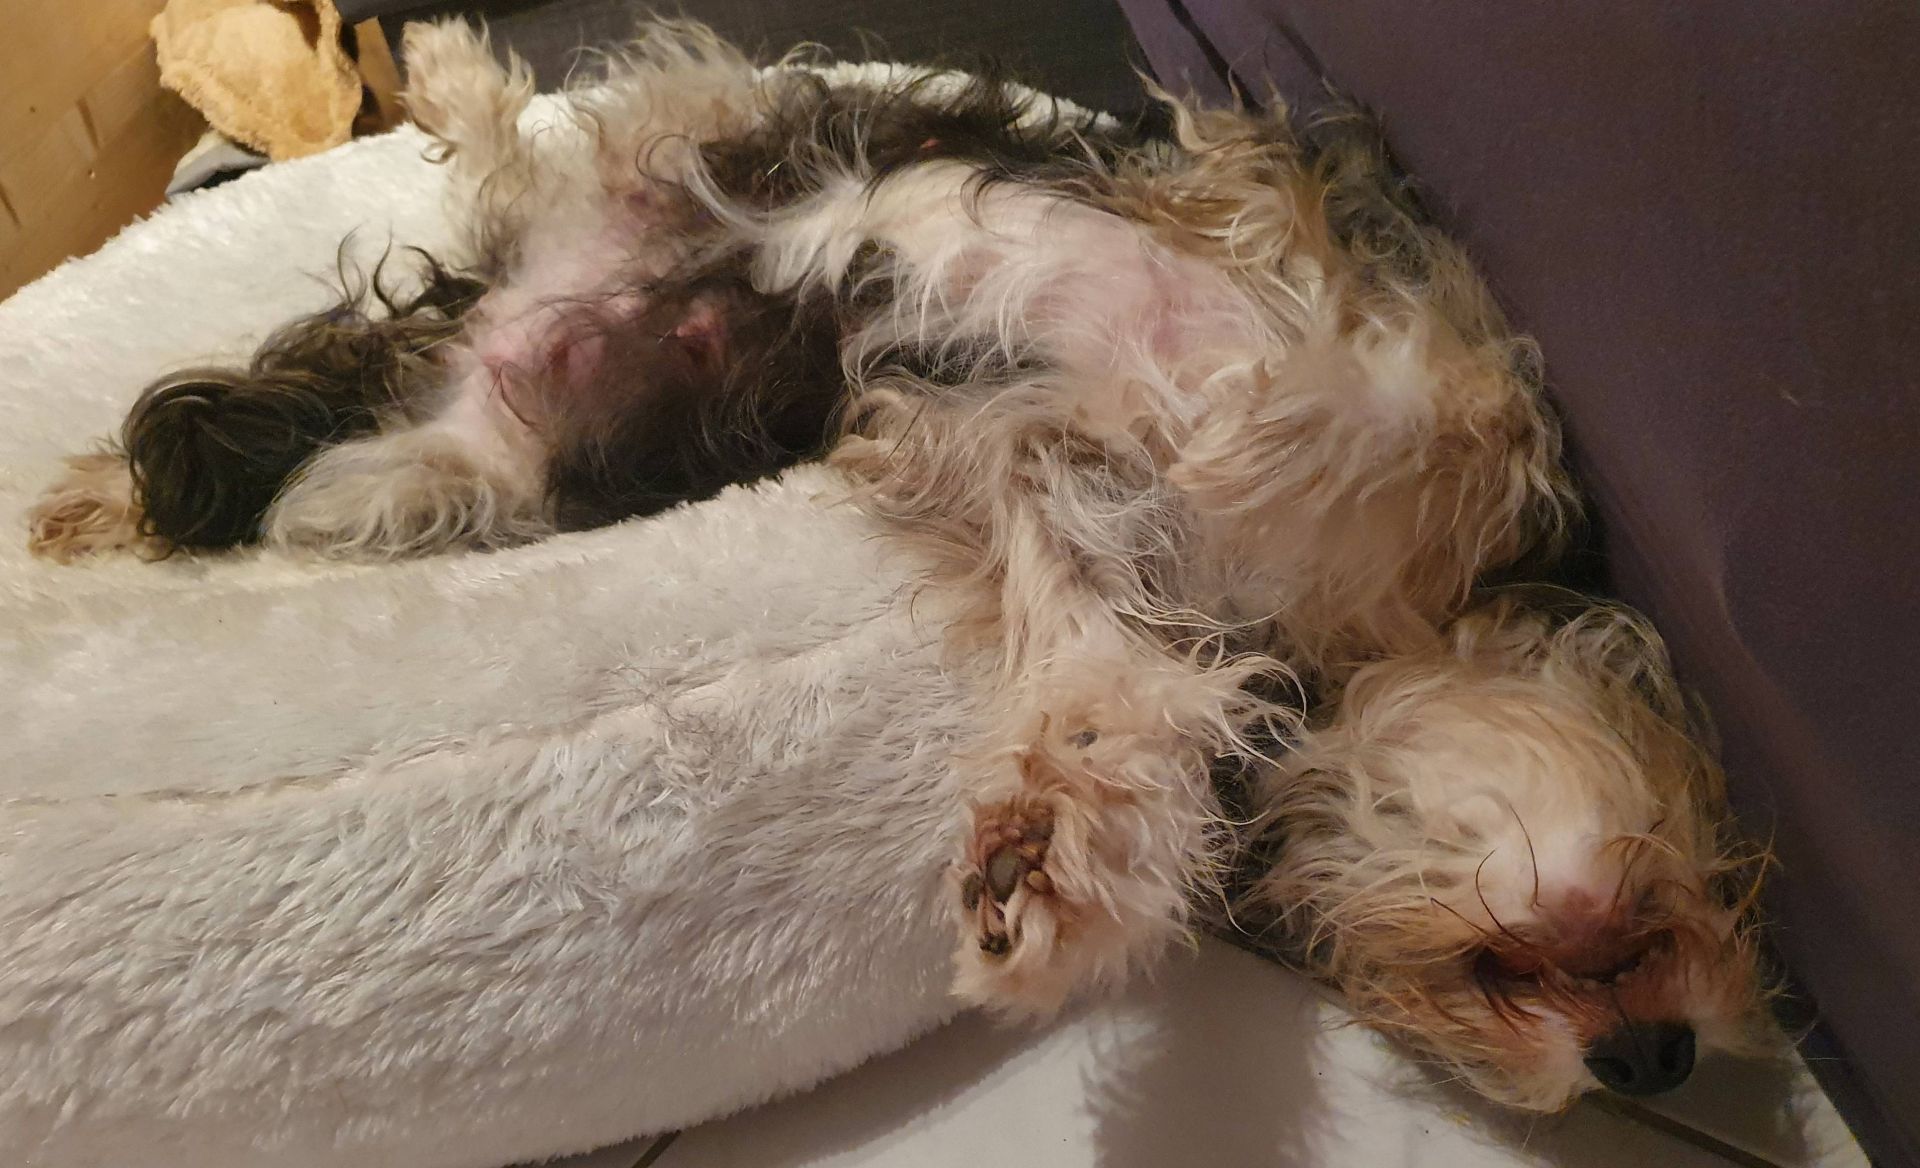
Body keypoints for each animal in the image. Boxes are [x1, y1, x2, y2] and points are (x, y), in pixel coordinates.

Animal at [26, 20, 1771, 1108]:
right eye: (1691, 895)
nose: (1658, 1060)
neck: (1390, 620)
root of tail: (519, 320)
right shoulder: (1349, 301)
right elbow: (1245, 408)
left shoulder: (1063, 497)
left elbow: (1107, 680)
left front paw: (1055, 872)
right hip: (713, 123)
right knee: (551, 156)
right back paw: (453, 78)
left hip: (487, 461)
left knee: (335, 461)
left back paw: (134, 491)